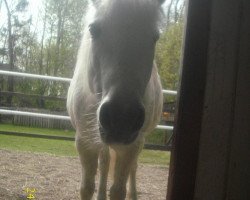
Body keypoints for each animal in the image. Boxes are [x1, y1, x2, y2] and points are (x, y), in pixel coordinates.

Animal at [67, 0, 164, 200]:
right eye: (93, 29)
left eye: (155, 36)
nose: (122, 118)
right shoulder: (84, 142)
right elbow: (86, 187)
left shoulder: (132, 146)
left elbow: (119, 189)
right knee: (104, 163)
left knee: (132, 168)